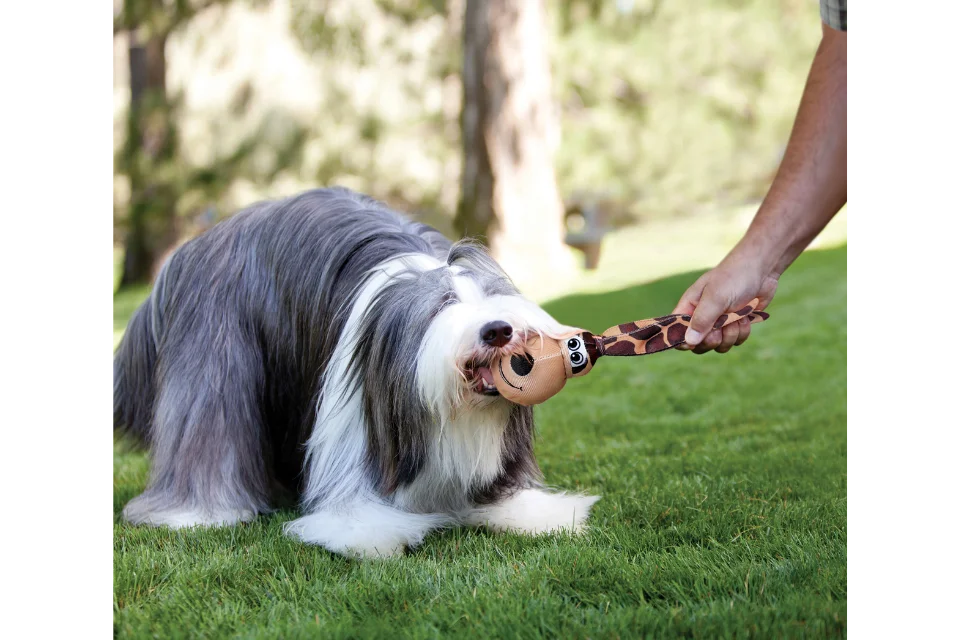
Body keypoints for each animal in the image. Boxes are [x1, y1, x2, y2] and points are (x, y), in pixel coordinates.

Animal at [114, 185, 600, 556]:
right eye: (442, 305)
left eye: (493, 295)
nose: (498, 330)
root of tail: (194, 248)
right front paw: (367, 530)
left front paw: (532, 512)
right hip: (216, 348)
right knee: (208, 427)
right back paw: (196, 512)